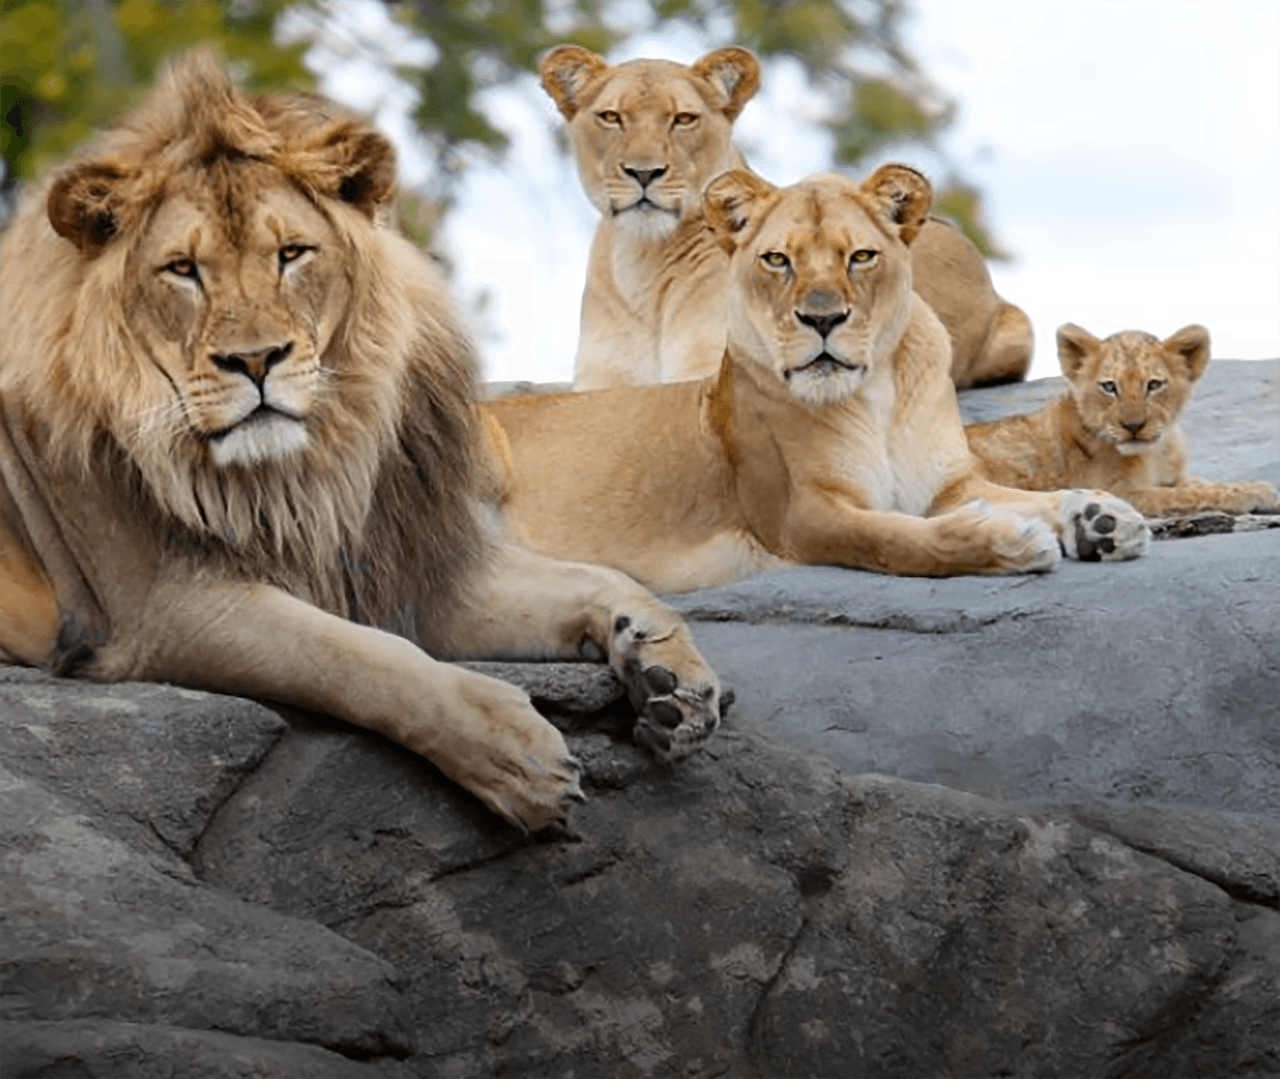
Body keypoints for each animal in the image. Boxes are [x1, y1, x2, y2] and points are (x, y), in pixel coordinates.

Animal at [0, 51, 725, 832]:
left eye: (291, 254)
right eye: (183, 269)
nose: (256, 360)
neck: (309, 468)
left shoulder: (411, 568)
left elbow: (602, 579)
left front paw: (671, 673)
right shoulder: (162, 609)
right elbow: (362, 659)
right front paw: (515, 755)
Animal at [482, 167, 1149, 593]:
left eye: (861, 256)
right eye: (778, 260)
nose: (823, 319)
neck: (879, 392)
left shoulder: (948, 485)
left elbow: (1022, 495)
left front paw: (1099, 517)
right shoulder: (801, 515)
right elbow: (898, 539)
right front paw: (1007, 542)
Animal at [966, 323, 1280, 517]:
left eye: (1154, 385)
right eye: (1109, 387)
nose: (1133, 427)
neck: (1156, 451)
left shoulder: (1172, 478)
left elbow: (1200, 485)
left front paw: (1256, 487)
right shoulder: (1122, 494)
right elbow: (1183, 496)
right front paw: (1249, 495)